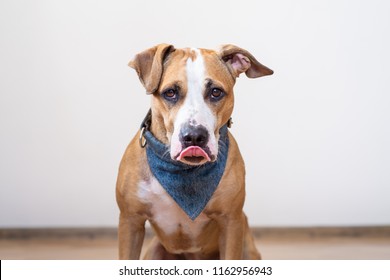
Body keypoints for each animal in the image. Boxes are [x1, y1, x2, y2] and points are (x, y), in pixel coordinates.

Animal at [116, 43, 274, 260]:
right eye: (170, 93)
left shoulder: (231, 223)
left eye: (216, 92)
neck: (181, 174)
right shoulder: (130, 222)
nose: (194, 136)